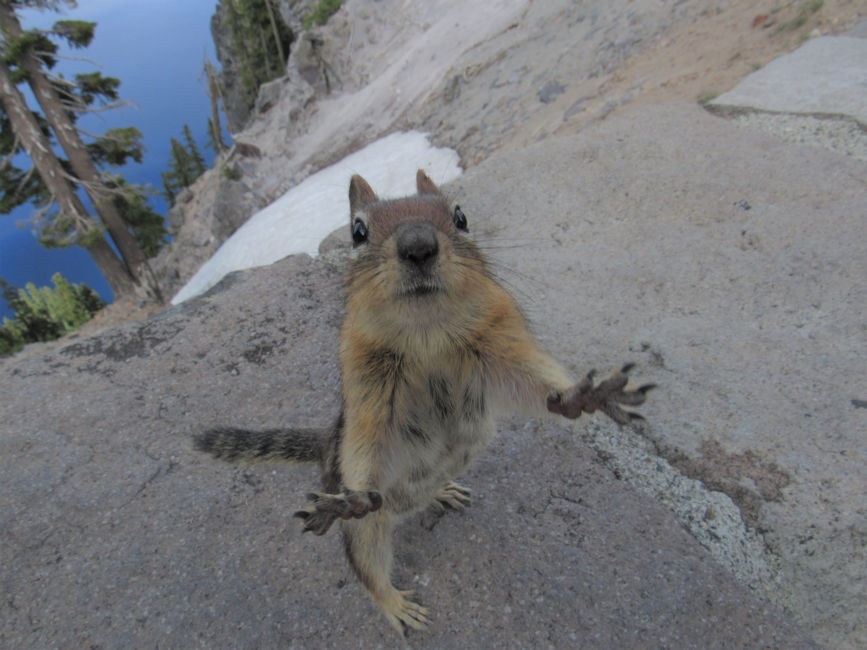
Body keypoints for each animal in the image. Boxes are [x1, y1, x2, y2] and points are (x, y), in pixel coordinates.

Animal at [194, 170, 654, 634]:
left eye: (461, 216)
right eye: (357, 231)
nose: (418, 246)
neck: (426, 335)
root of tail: (324, 446)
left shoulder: (501, 350)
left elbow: (534, 383)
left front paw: (589, 394)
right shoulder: (368, 394)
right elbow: (366, 449)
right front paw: (352, 498)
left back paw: (443, 491)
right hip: (366, 531)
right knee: (368, 568)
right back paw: (397, 604)